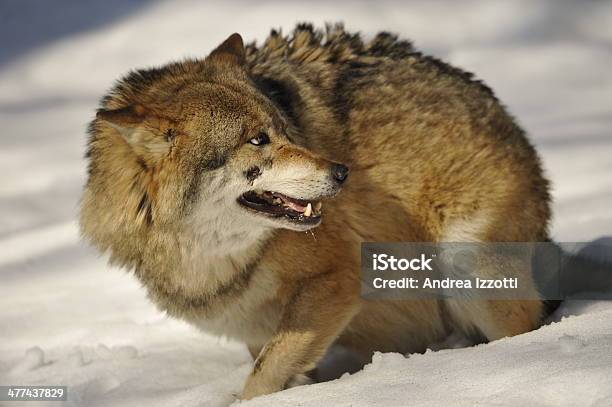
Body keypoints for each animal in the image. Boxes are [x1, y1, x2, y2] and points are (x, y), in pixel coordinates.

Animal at [79, 23, 552, 400]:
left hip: (468, 269)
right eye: (257, 140)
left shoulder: (337, 277)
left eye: (284, 129)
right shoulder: (258, 328)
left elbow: (262, 379)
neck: (209, 256)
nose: (342, 172)